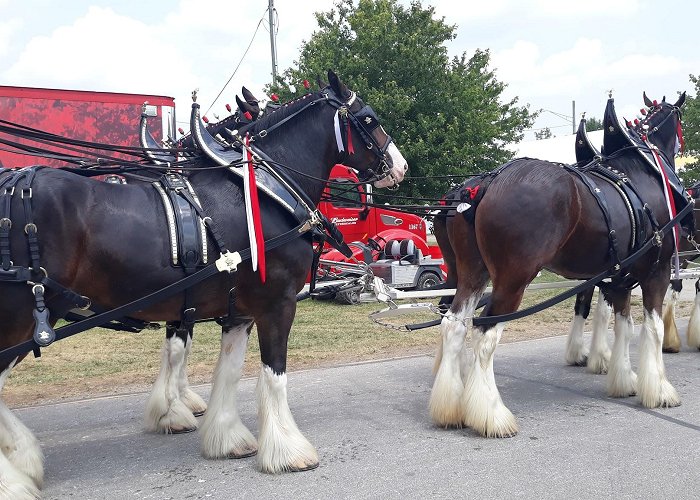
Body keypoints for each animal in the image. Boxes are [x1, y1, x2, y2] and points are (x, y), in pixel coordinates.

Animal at [0, 71, 410, 496]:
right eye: (369, 119)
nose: (400, 166)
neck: (260, 191)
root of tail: (14, 181)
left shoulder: (233, 310)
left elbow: (223, 370)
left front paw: (222, 435)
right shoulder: (275, 304)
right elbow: (271, 374)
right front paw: (288, 450)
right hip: (24, 316)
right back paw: (15, 476)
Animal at [432, 93, 688, 438]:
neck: (642, 173)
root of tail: (484, 185)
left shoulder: (621, 280)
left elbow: (624, 327)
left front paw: (624, 381)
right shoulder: (656, 273)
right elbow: (654, 329)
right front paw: (659, 390)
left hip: (472, 273)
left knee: (454, 324)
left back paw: (450, 407)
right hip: (513, 279)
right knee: (485, 333)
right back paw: (492, 416)